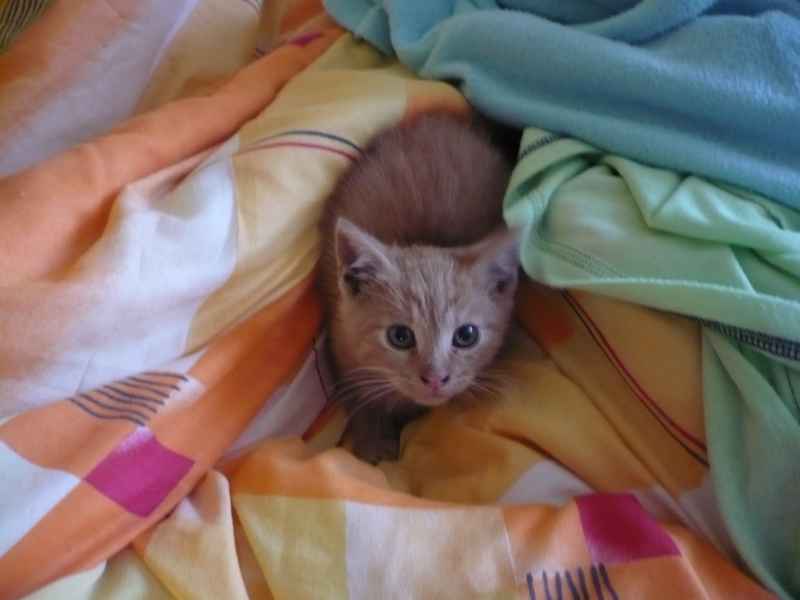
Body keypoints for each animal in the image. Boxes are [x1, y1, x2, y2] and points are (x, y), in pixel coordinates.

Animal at [318, 112, 520, 463]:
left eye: (467, 335)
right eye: (400, 336)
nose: (436, 379)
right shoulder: (340, 347)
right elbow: (360, 400)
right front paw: (373, 442)